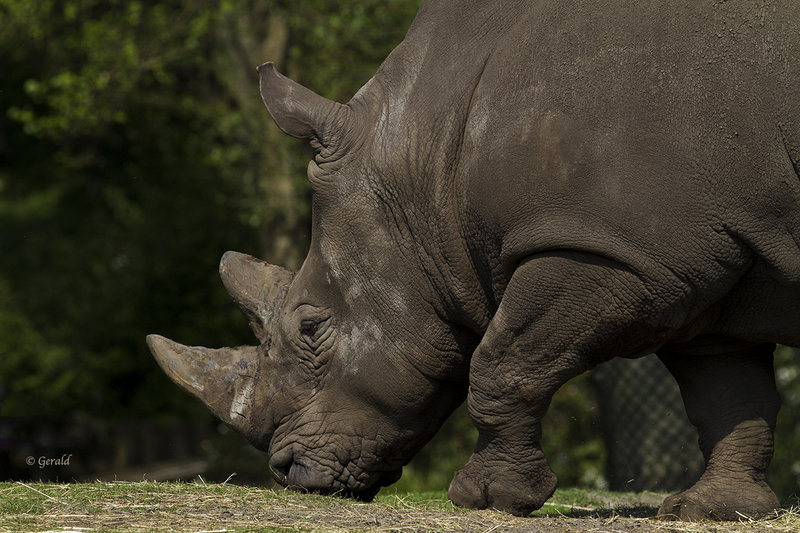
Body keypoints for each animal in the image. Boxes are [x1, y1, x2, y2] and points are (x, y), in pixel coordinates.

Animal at [147, 0, 800, 521]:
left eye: (310, 326)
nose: (287, 473)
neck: (427, 158)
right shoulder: (694, 265)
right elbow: (727, 392)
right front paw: (715, 509)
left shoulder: (606, 247)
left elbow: (504, 360)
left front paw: (485, 498)